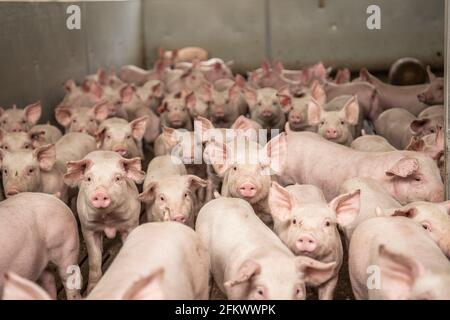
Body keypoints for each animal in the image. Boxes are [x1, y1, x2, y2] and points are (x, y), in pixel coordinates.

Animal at [62, 151, 144, 292]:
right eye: (89, 179)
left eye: (118, 178)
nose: (100, 193)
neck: (108, 220)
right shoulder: (88, 228)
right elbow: (94, 260)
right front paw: (91, 289)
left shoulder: (131, 224)